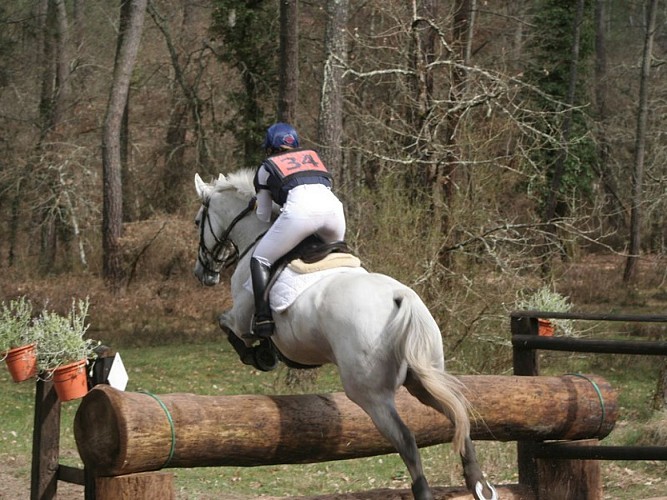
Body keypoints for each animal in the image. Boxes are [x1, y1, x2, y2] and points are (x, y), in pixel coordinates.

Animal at [193, 169, 496, 500]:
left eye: (197, 222)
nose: (202, 274)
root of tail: (402, 298)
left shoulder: (241, 316)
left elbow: (227, 326)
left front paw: (260, 355)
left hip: (369, 393)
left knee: (405, 439)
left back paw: (426, 491)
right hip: (423, 376)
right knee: (457, 414)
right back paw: (478, 483)